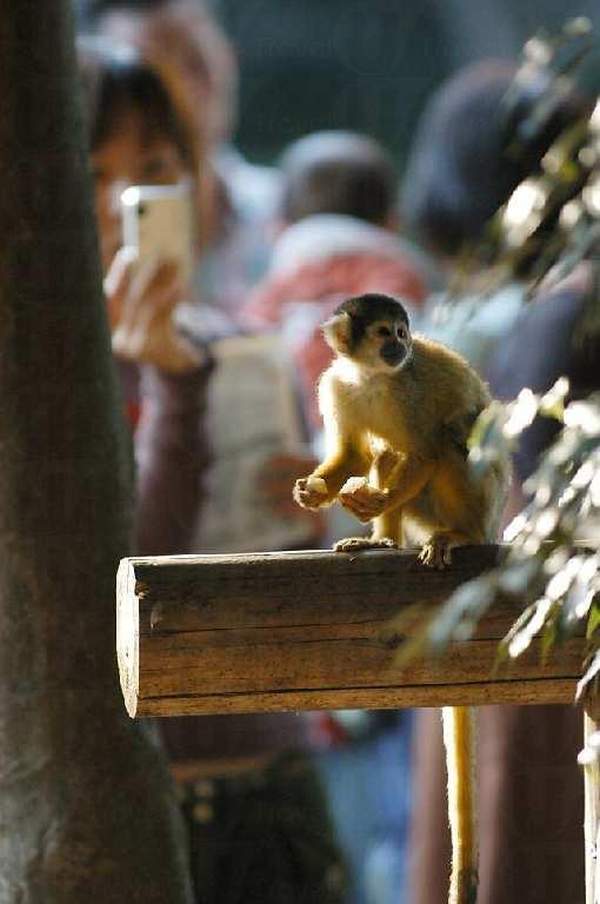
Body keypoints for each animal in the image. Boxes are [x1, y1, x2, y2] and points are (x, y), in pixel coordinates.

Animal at [293, 293, 510, 904]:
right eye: (385, 333)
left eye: (402, 334)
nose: (402, 347)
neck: (371, 377)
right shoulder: (335, 385)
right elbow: (348, 454)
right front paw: (317, 492)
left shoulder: (406, 393)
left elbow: (427, 451)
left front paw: (375, 500)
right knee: (389, 448)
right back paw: (382, 540)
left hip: (483, 506)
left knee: (454, 436)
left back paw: (454, 536)